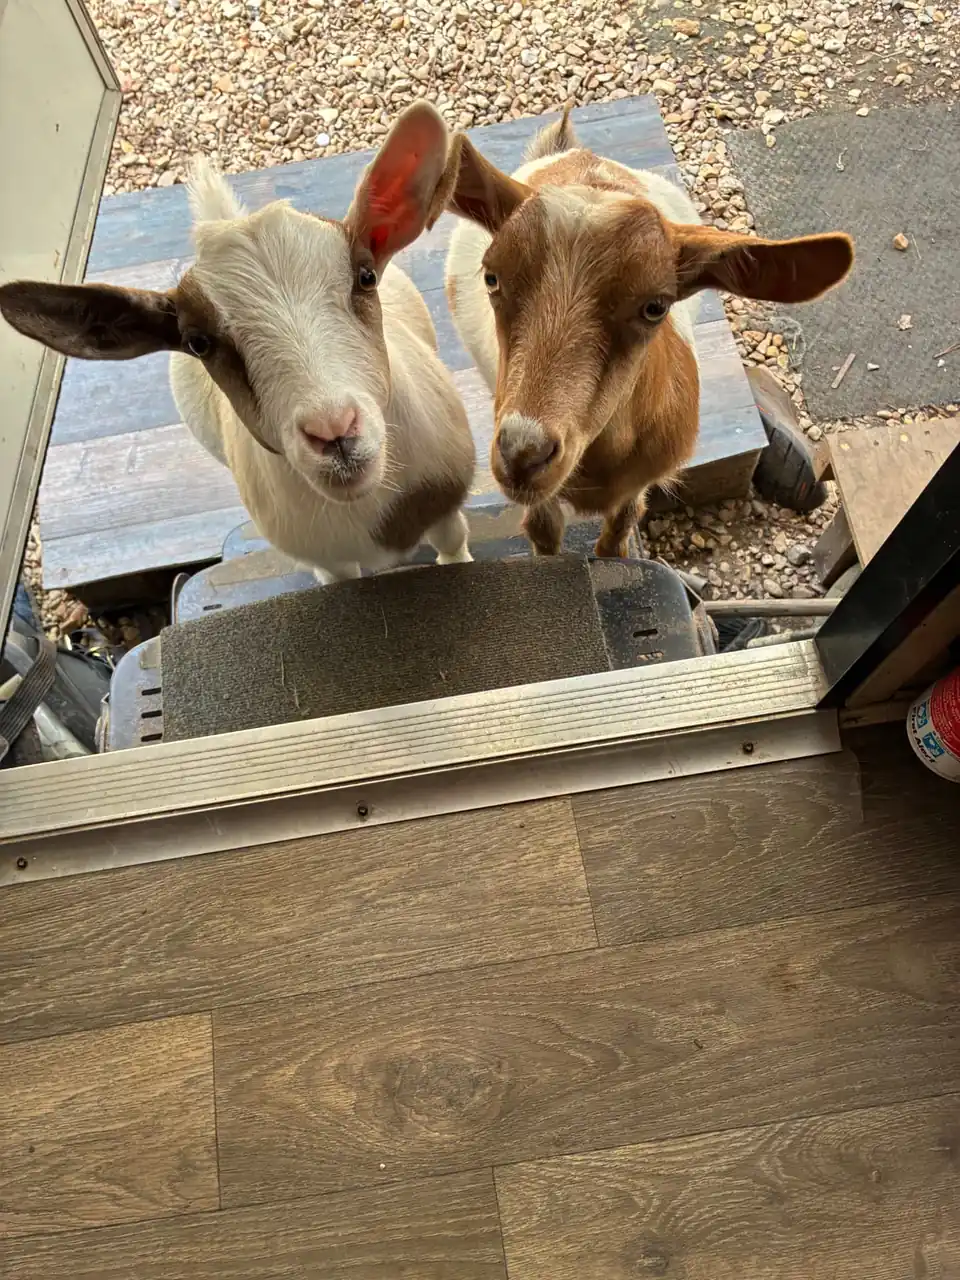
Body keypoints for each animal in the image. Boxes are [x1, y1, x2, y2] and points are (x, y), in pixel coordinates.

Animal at [0, 103, 475, 583]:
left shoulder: (445, 506)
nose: (334, 431)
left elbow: (454, 545)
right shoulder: (330, 563)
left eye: (365, 277)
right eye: (199, 342)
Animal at [442, 109, 853, 557]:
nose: (523, 455)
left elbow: (622, 524)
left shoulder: (640, 479)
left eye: (655, 307)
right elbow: (544, 531)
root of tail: (573, 153)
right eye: (492, 277)